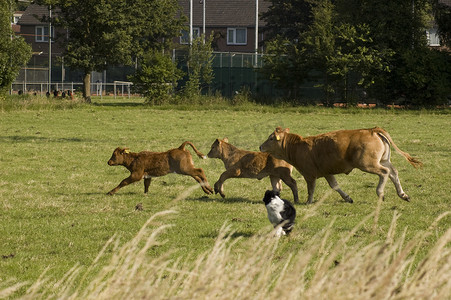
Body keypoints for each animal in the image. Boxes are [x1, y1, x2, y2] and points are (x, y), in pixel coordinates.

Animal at [262, 126, 424, 204]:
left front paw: (308, 202)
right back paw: (402, 194)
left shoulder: (309, 174)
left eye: (271, 138)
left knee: (384, 173)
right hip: (383, 160)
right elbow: (335, 186)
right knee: (393, 172)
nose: (260, 146)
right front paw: (347, 198)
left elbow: (311, 189)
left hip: (368, 164)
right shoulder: (327, 172)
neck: (298, 147)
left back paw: (380, 193)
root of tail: (372, 130)